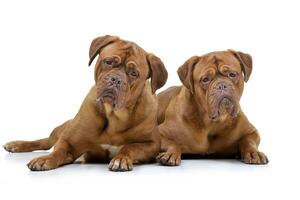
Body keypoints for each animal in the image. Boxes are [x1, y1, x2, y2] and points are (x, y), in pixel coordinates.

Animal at [3, 34, 168, 172]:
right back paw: (15, 145)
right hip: (61, 129)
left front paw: (121, 159)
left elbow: (130, 148)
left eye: (134, 74)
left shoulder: (151, 144)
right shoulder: (69, 141)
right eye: (108, 62)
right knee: (45, 142)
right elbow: (58, 151)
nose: (116, 79)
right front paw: (46, 159)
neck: (114, 117)